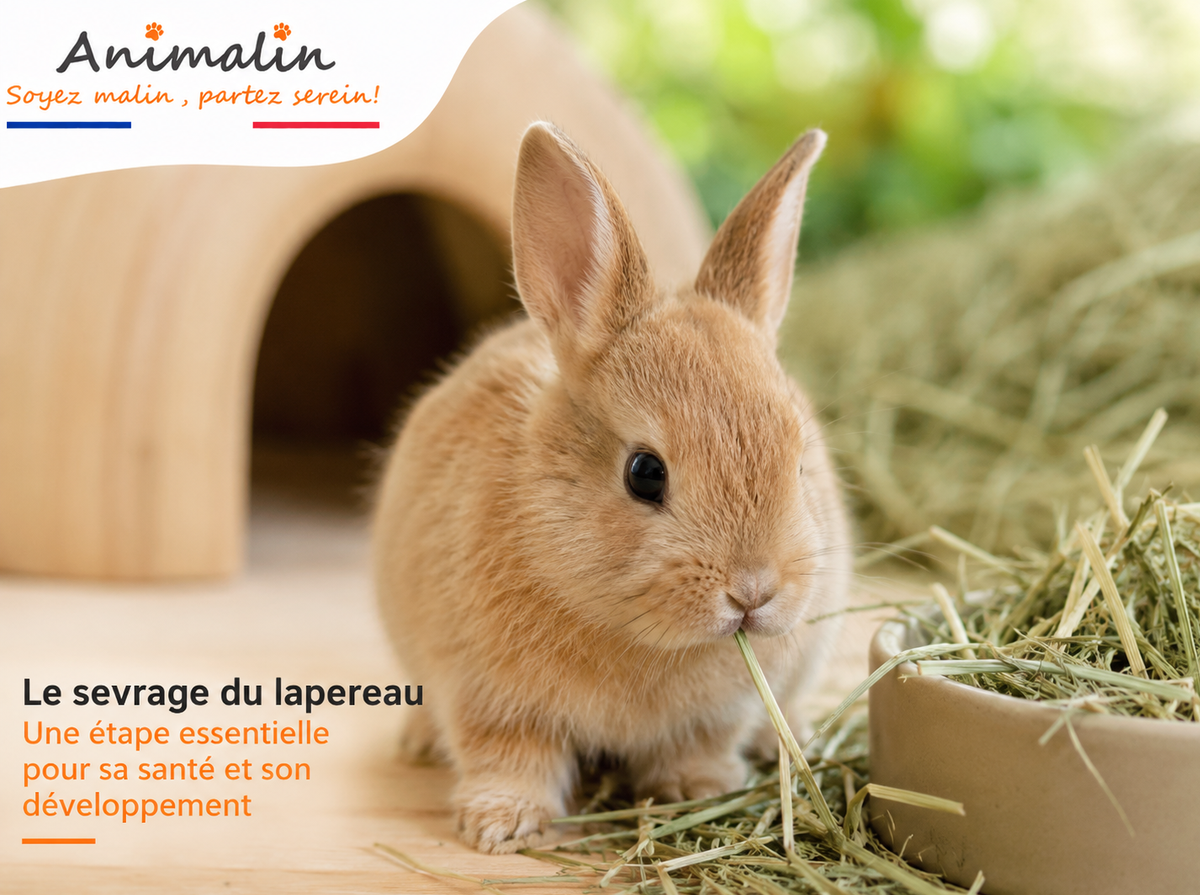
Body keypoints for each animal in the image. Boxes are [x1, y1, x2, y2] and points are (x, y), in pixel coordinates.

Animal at [372, 121, 851, 854]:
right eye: (645, 473)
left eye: (800, 461)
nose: (753, 591)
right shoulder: (489, 698)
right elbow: (507, 756)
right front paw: (499, 826)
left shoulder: (721, 711)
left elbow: (698, 744)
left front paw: (697, 787)